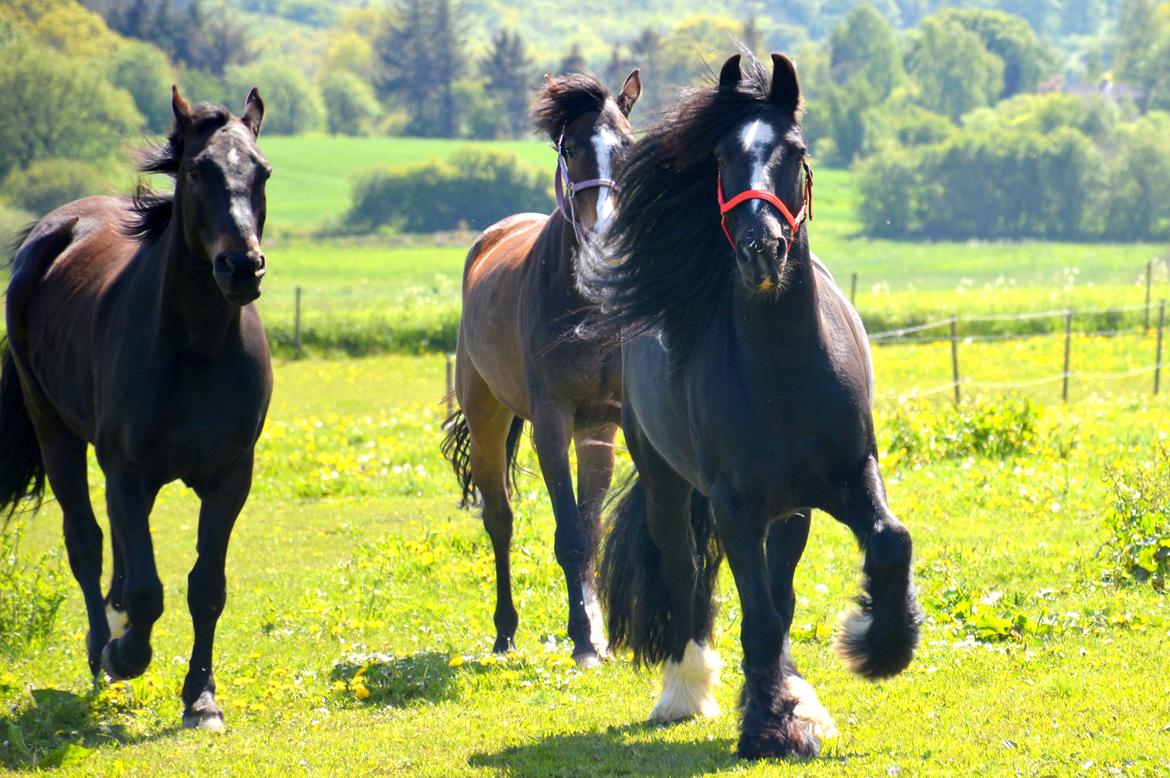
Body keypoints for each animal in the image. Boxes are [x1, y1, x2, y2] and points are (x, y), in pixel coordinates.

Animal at [0, 87, 271, 730]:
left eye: (263, 172)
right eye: (197, 170)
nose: (242, 268)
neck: (197, 347)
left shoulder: (230, 478)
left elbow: (206, 586)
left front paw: (201, 699)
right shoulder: (127, 471)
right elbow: (149, 588)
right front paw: (124, 655)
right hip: (58, 436)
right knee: (87, 542)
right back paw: (103, 652)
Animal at [439, 69, 645, 664]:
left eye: (628, 147)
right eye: (571, 148)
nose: (605, 234)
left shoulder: (611, 423)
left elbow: (594, 529)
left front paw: (600, 632)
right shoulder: (551, 423)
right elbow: (569, 536)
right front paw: (581, 639)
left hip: (592, 431)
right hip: (487, 421)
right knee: (499, 520)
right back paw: (505, 631)